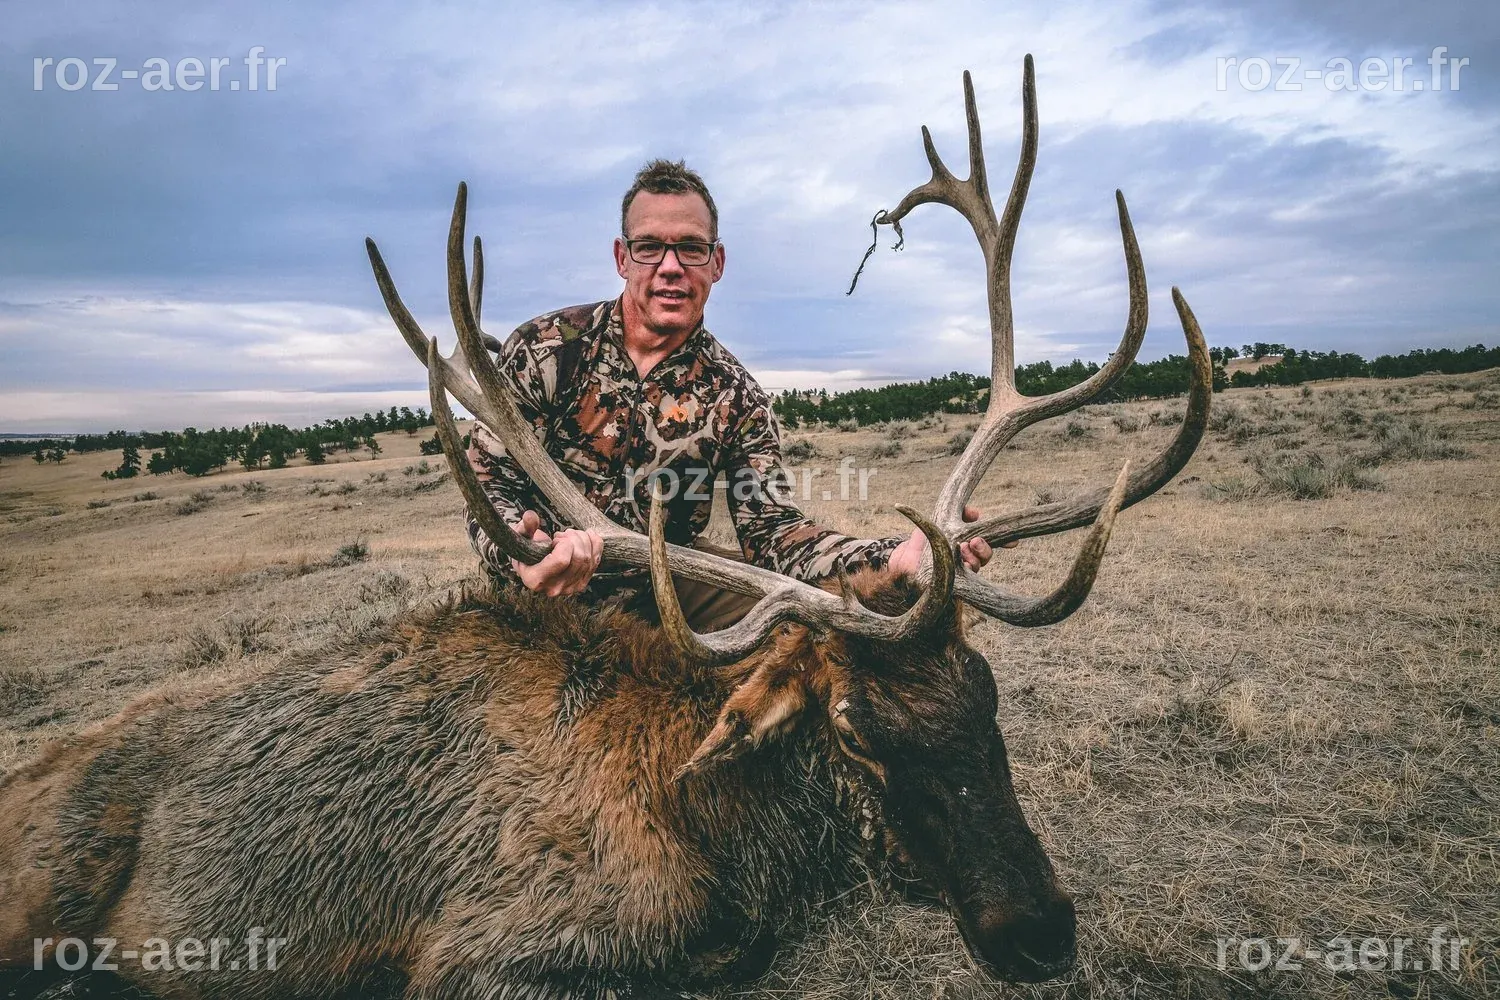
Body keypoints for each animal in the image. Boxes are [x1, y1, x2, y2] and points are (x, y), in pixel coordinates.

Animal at [0, 56, 1210, 999]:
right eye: (855, 728)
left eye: (988, 694)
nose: (1040, 932)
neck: (715, 817)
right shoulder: (487, 952)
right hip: (47, 877)